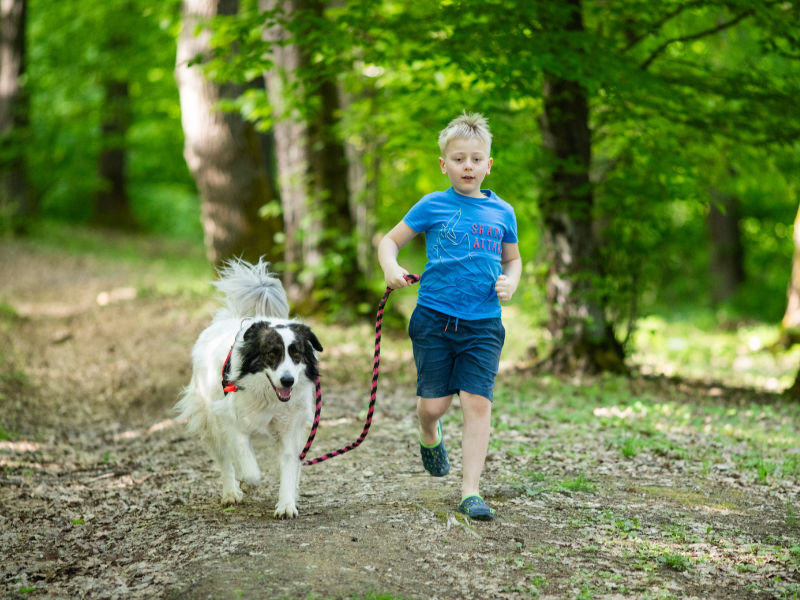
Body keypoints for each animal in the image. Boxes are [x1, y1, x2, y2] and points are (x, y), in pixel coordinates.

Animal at [177, 255, 322, 516]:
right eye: (272, 354)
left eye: (296, 354)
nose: (288, 380)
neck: (268, 396)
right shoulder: (228, 418)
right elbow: (249, 466)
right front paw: (248, 480)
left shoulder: (290, 427)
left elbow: (289, 464)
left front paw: (287, 503)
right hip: (209, 420)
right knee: (224, 458)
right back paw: (231, 492)